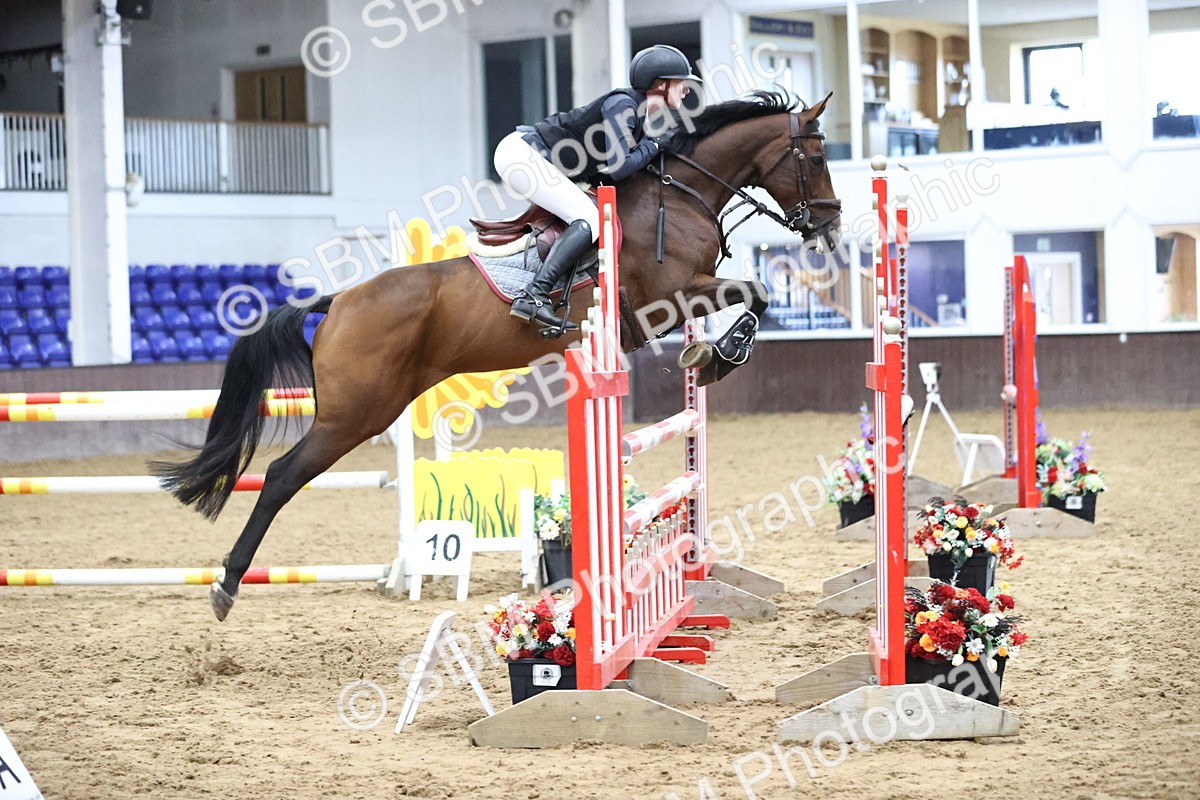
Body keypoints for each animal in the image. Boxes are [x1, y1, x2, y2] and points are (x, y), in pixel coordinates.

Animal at [152, 90, 842, 620]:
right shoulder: (665, 297)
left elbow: (748, 294)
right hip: (356, 414)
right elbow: (754, 292)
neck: (680, 193)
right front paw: (721, 354)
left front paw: (711, 353)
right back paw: (226, 584)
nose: (830, 226)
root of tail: (340, 299)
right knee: (279, 476)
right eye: (815, 155)